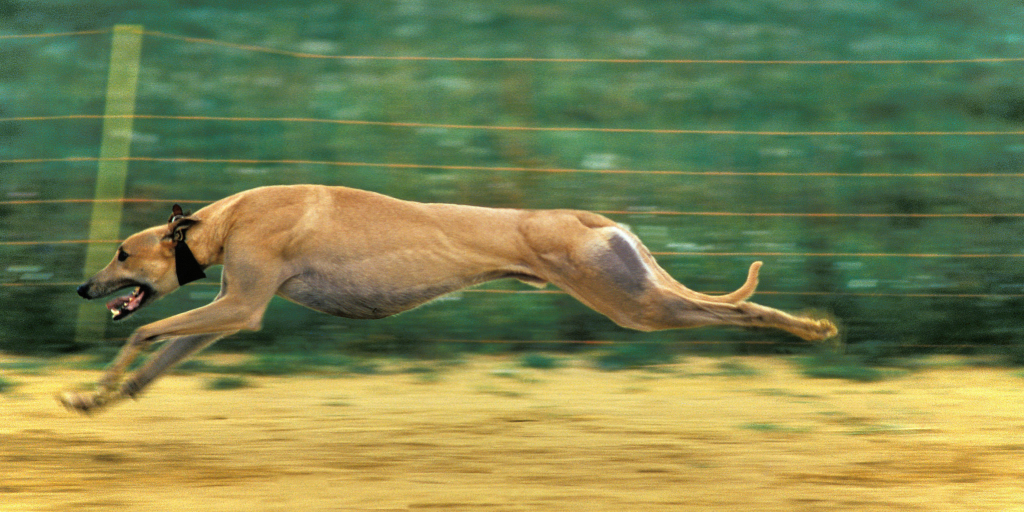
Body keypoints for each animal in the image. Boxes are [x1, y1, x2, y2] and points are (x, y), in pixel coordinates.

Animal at [59, 186, 835, 413]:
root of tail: (586, 219)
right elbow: (161, 353)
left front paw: (92, 388)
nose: (84, 287)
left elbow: (141, 333)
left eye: (121, 252)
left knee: (739, 309)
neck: (227, 219)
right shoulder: (232, 312)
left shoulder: (241, 304)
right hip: (638, 290)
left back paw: (810, 329)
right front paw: (103, 397)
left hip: (634, 304)